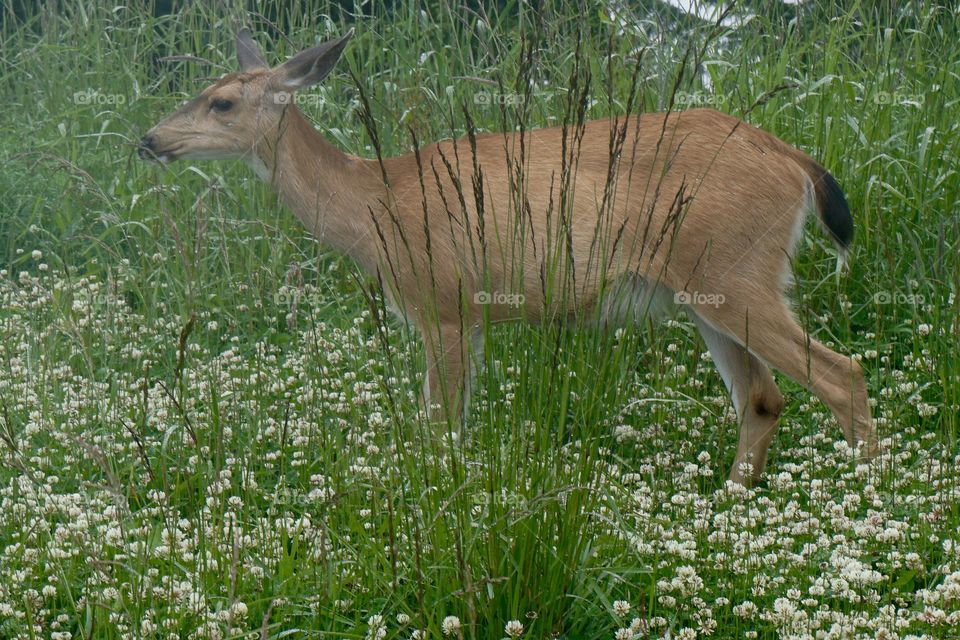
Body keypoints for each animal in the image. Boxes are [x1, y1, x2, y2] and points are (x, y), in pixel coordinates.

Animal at [138, 28, 880, 485]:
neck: (371, 204)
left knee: (842, 374)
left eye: (222, 101)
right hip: (706, 291)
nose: (148, 140)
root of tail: (793, 161)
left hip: (736, 271)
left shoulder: (444, 303)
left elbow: (441, 429)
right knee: (762, 397)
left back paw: (872, 498)